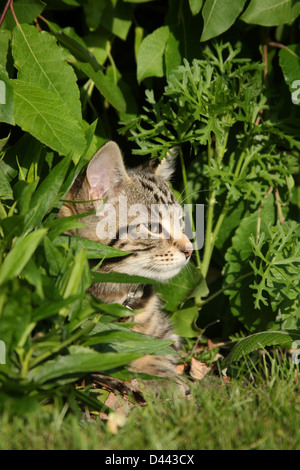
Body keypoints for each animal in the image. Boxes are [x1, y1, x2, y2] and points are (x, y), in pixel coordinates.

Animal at [58, 142, 192, 382]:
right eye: (154, 227)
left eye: (181, 221)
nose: (190, 250)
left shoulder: (164, 331)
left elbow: (161, 351)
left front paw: (166, 379)